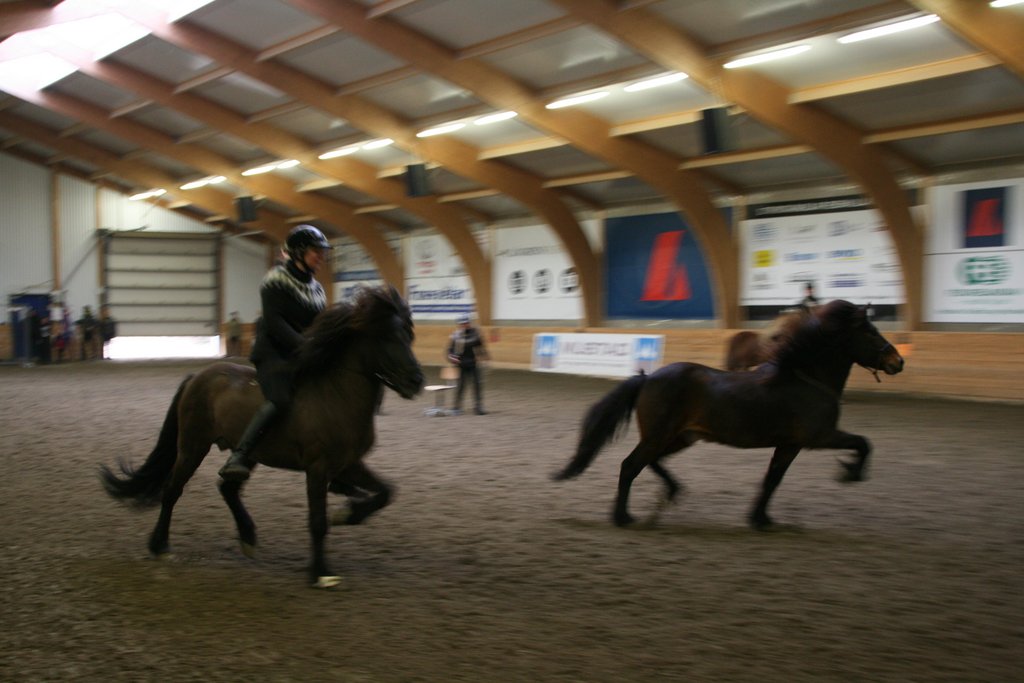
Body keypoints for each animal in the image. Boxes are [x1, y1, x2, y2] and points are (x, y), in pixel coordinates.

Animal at [100, 285, 425, 588]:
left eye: (409, 337)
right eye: (387, 338)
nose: (417, 381)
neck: (338, 395)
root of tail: (197, 377)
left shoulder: (348, 464)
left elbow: (386, 492)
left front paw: (348, 515)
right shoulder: (318, 468)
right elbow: (318, 521)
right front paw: (321, 573)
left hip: (248, 453)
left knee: (227, 488)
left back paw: (247, 537)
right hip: (193, 446)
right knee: (172, 490)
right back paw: (160, 546)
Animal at [554, 300, 904, 530]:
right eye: (871, 332)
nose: (897, 362)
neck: (805, 378)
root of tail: (648, 377)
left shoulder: (789, 444)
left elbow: (772, 479)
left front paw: (760, 519)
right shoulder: (819, 437)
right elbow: (863, 443)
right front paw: (850, 474)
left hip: (680, 437)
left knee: (651, 462)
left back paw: (671, 493)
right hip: (660, 436)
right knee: (630, 466)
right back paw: (623, 517)